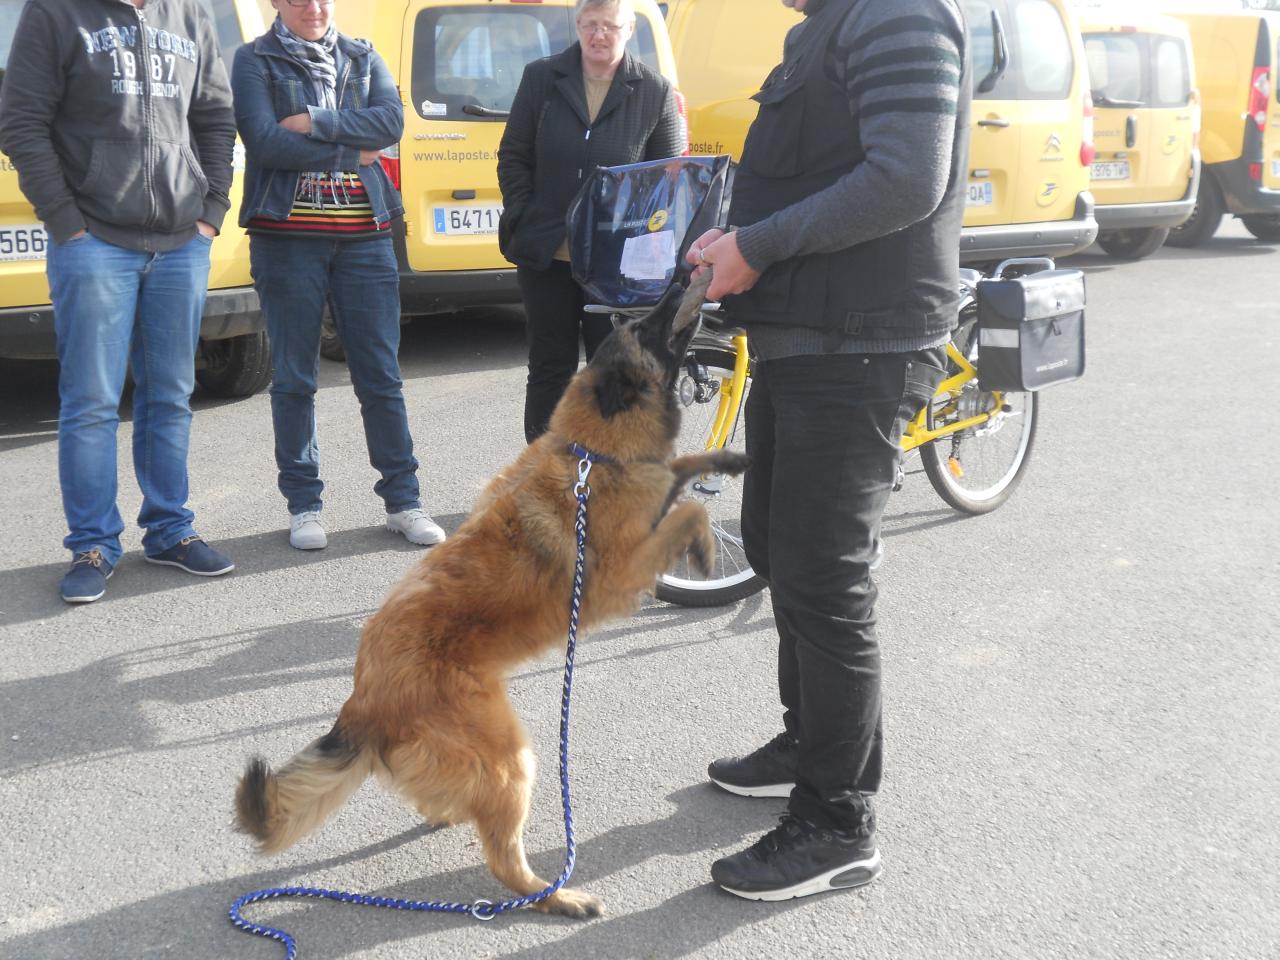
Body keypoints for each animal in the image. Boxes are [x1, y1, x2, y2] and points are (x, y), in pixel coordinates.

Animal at [235, 271, 747, 916]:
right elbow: (688, 511)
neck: (591, 452)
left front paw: (727, 457)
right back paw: (558, 897)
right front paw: (704, 547)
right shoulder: (622, 572)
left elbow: (682, 471)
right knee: (506, 863)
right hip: (510, 757)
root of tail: (363, 700)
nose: (687, 274)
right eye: (647, 325)